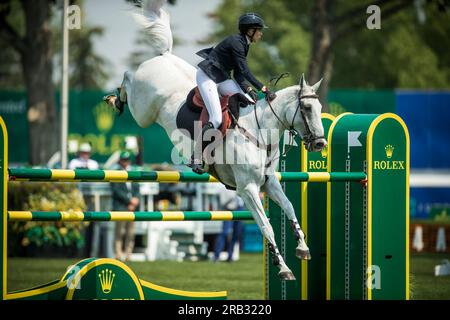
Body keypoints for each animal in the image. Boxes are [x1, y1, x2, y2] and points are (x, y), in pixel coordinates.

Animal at [109, 0, 326, 280]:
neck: (258, 131)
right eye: (307, 109)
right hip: (143, 110)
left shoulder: (270, 183)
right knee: (127, 77)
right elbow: (266, 226)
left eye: (319, 108)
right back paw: (114, 99)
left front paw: (302, 248)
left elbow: (289, 208)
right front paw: (284, 268)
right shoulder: (248, 189)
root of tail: (164, 56)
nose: (320, 144)